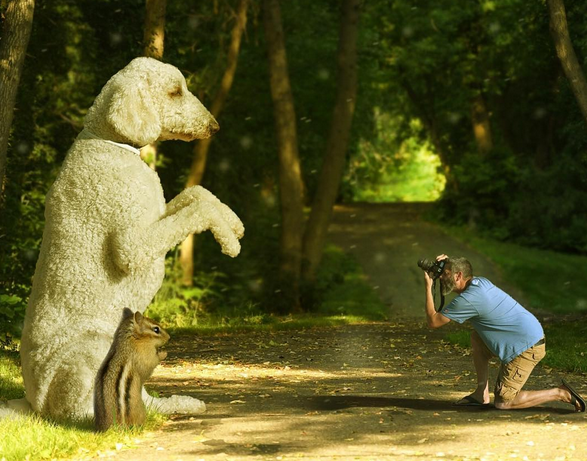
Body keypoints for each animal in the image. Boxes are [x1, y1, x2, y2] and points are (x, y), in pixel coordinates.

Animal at [14, 56, 243, 416]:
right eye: (175, 91)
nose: (214, 126)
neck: (113, 143)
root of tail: (33, 402)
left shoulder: (157, 214)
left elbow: (198, 194)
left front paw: (234, 223)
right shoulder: (133, 245)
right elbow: (199, 210)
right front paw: (230, 241)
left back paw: (179, 404)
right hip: (93, 350)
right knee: (83, 407)